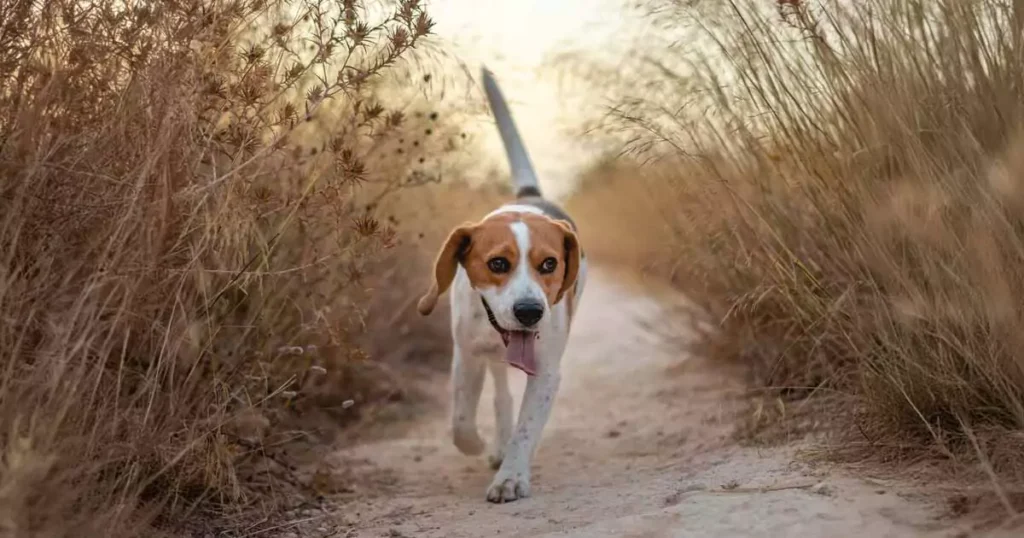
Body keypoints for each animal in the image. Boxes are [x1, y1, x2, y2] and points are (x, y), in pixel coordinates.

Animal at [415, 68, 589, 504]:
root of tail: (530, 196)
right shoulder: (466, 356)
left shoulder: (546, 373)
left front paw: (511, 476)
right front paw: (477, 445)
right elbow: (460, 421)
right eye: (497, 264)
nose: (530, 312)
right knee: (500, 392)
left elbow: (526, 431)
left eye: (549, 264)